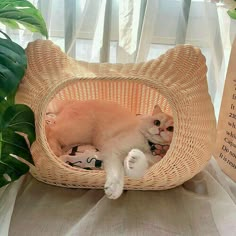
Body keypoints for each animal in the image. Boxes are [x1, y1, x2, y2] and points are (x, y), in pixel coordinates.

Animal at [45, 99, 173, 199]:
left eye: (171, 128)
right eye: (157, 122)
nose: (161, 129)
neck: (150, 146)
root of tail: (73, 101)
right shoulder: (113, 149)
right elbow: (117, 171)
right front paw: (114, 189)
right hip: (75, 131)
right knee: (50, 130)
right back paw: (55, 150)